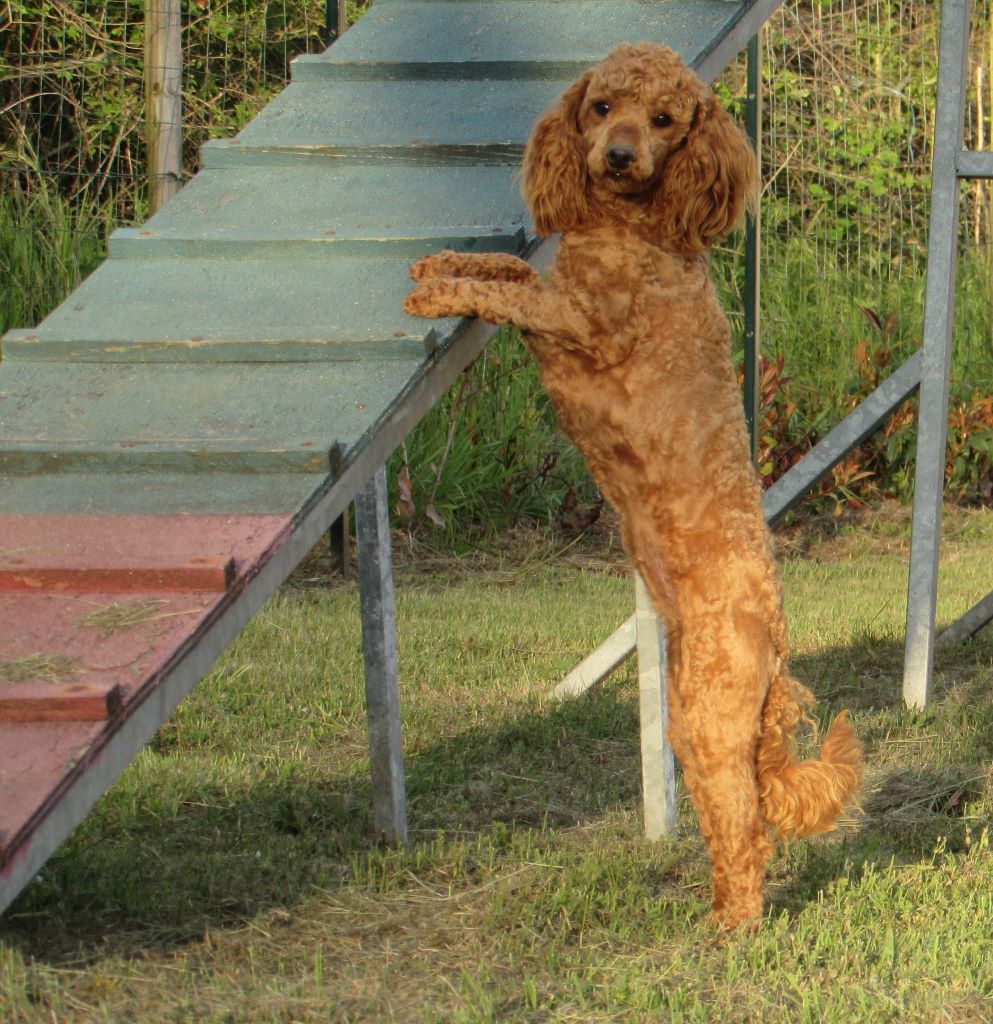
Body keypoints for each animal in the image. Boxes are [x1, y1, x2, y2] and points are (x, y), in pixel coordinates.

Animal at [403, 41, 859, 929]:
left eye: (663, 119)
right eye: (600, 106)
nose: (616, 156)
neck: (632, 229)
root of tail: (778, 644)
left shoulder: (581, 322)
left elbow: (503, 290)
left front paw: (436, 290)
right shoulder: (559, 288)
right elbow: (505, 263)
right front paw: (440, 259)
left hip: (712, 720)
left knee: (749, 835)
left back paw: (733, 932)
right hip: (687, 721)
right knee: (732, 824)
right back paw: (714, 909)